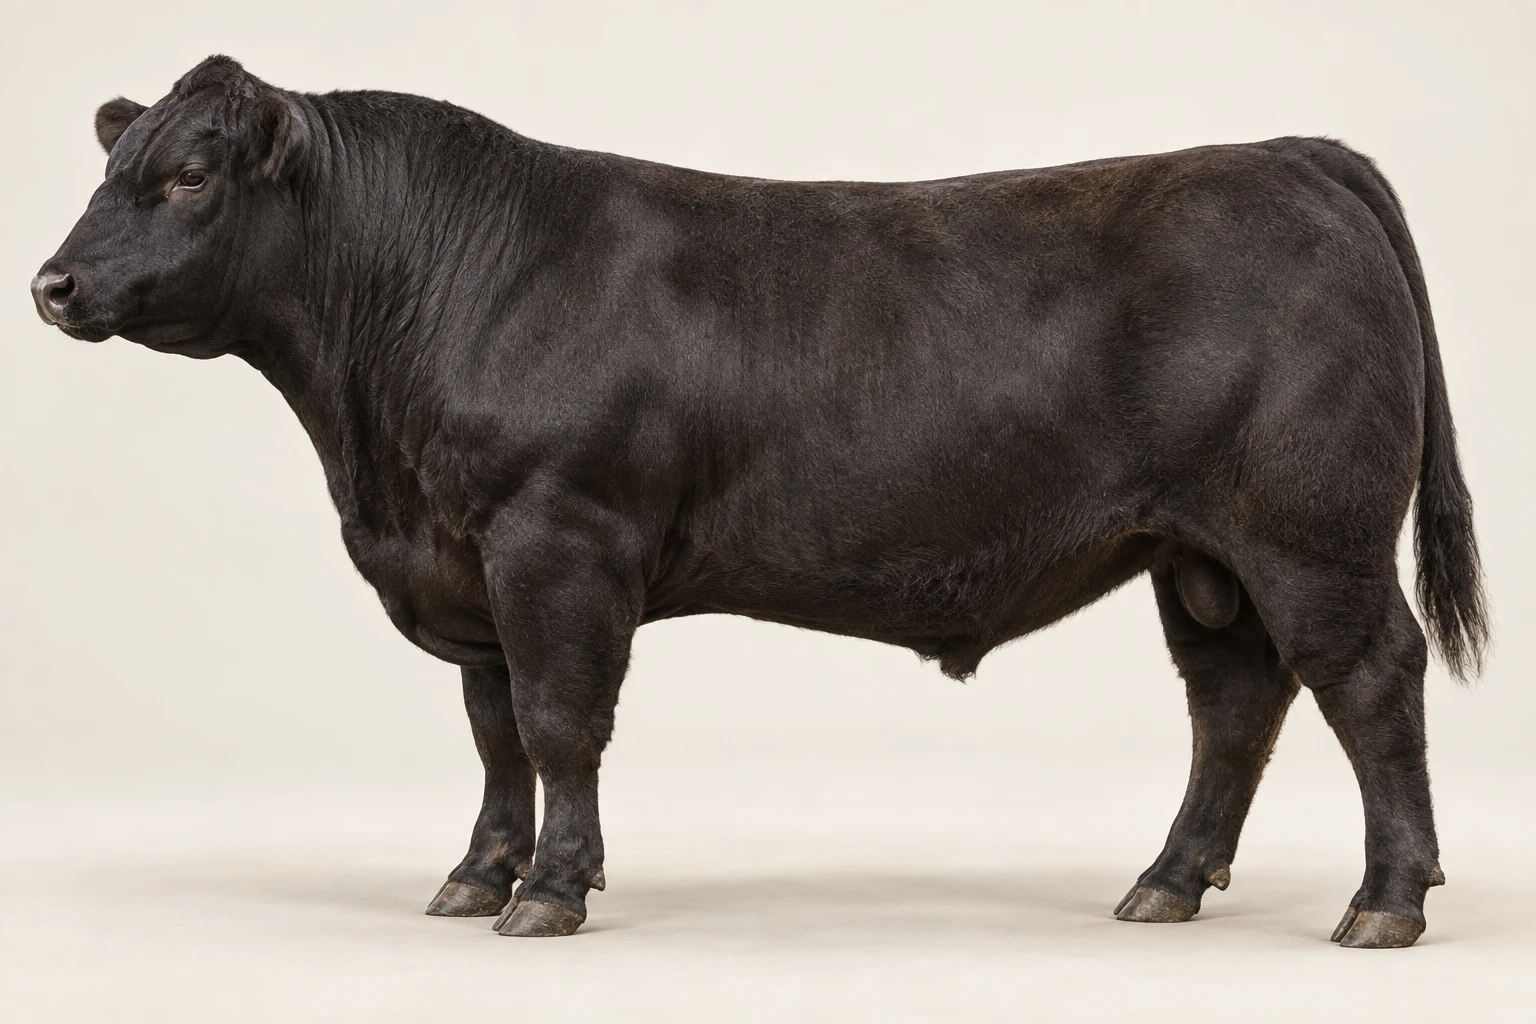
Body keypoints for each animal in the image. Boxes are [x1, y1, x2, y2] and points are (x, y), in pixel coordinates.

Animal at [32, 55, 1487, 947]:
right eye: (112, 168)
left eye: (190, 176)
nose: (50, 283)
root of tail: (1284, 153)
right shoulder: (468, 566)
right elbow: (495, 734)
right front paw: (476, 875)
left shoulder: (558, 540)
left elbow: (560, 725)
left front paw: (549, 892)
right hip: (1197, 551)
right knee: (1235, 701)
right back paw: (1166, 883)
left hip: (1309, 533)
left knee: (1368, 677)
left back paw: (1387, 902)